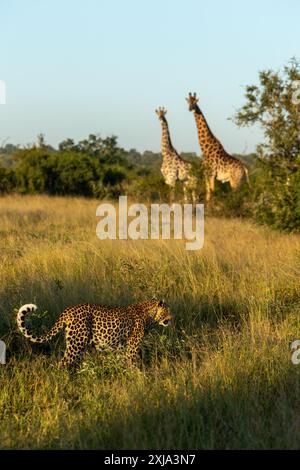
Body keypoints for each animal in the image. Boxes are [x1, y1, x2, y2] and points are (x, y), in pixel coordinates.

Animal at [16, 300, 172, 370]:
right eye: (167, 311)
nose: (171, 318)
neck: (149, 316)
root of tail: (67, 310)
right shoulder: (132, 347)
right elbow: (132, 364)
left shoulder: (121, 348)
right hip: (76, 344)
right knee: (62, 363)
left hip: (78, 345)